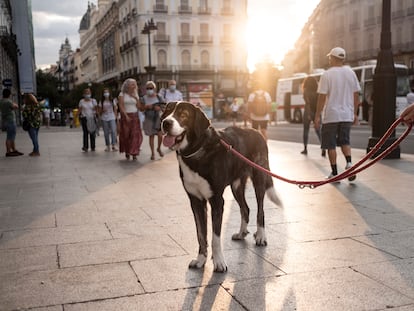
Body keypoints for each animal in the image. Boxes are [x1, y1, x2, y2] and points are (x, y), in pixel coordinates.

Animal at [161, 102, 282, 272]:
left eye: (183, 114)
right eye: (166, 112)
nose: (165, 123)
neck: (195, 152)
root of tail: (256, 132)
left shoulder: (217, 201)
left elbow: (215, 238)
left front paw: (218, 262)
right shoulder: (196, 201)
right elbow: (201, 235)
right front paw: (201, 260)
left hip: (259, 178)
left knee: (260, 210)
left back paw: (260, 236)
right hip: (236, 186)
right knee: (245, 208)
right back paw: (241, 233)